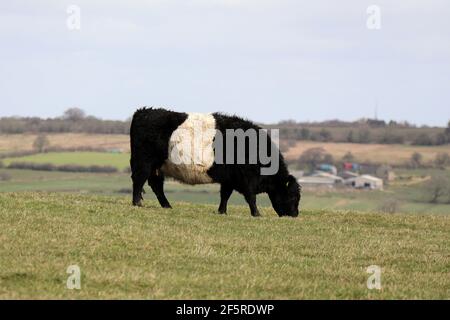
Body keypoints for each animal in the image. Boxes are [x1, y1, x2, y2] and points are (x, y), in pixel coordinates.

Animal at [128, 108, 300, 218]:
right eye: (293, 197)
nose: (295, 215)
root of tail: (142, 111)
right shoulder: (247, 179)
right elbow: (251, 197)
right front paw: (257, 214)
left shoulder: (229, 179)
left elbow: (225, 195)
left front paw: (222, 212)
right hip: (144, 162)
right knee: (139, 180)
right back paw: (137, 203)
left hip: (158, 167)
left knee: (156, 185)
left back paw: (167, 206)